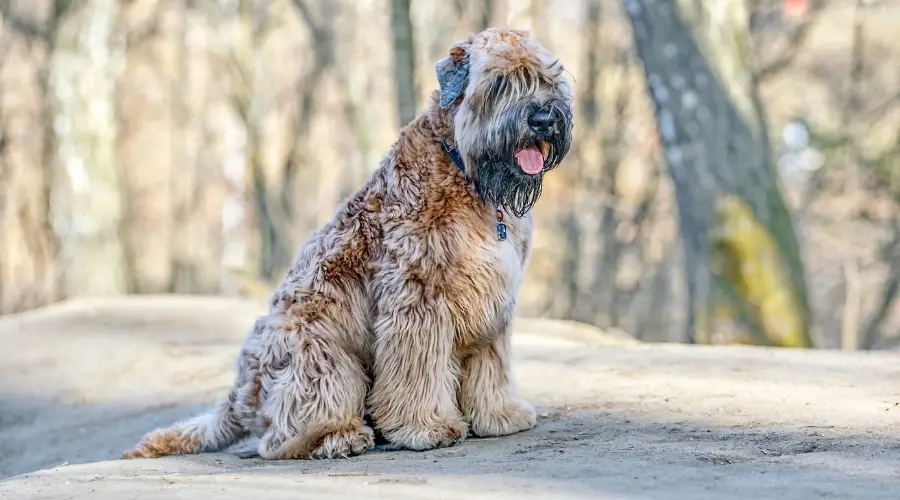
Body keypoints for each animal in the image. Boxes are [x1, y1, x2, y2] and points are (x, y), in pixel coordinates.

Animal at [123, 25, 572, 458]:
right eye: (499, 83)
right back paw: (339, 437)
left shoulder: (491, 301)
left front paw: (500, 414)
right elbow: (418, 372)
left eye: (548, 78)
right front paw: (426, 427)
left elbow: (490, 366)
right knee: (284, 434)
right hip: (320, 356)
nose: (544, 118)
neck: (464, 170)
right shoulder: (418, 299)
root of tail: (240, 395)